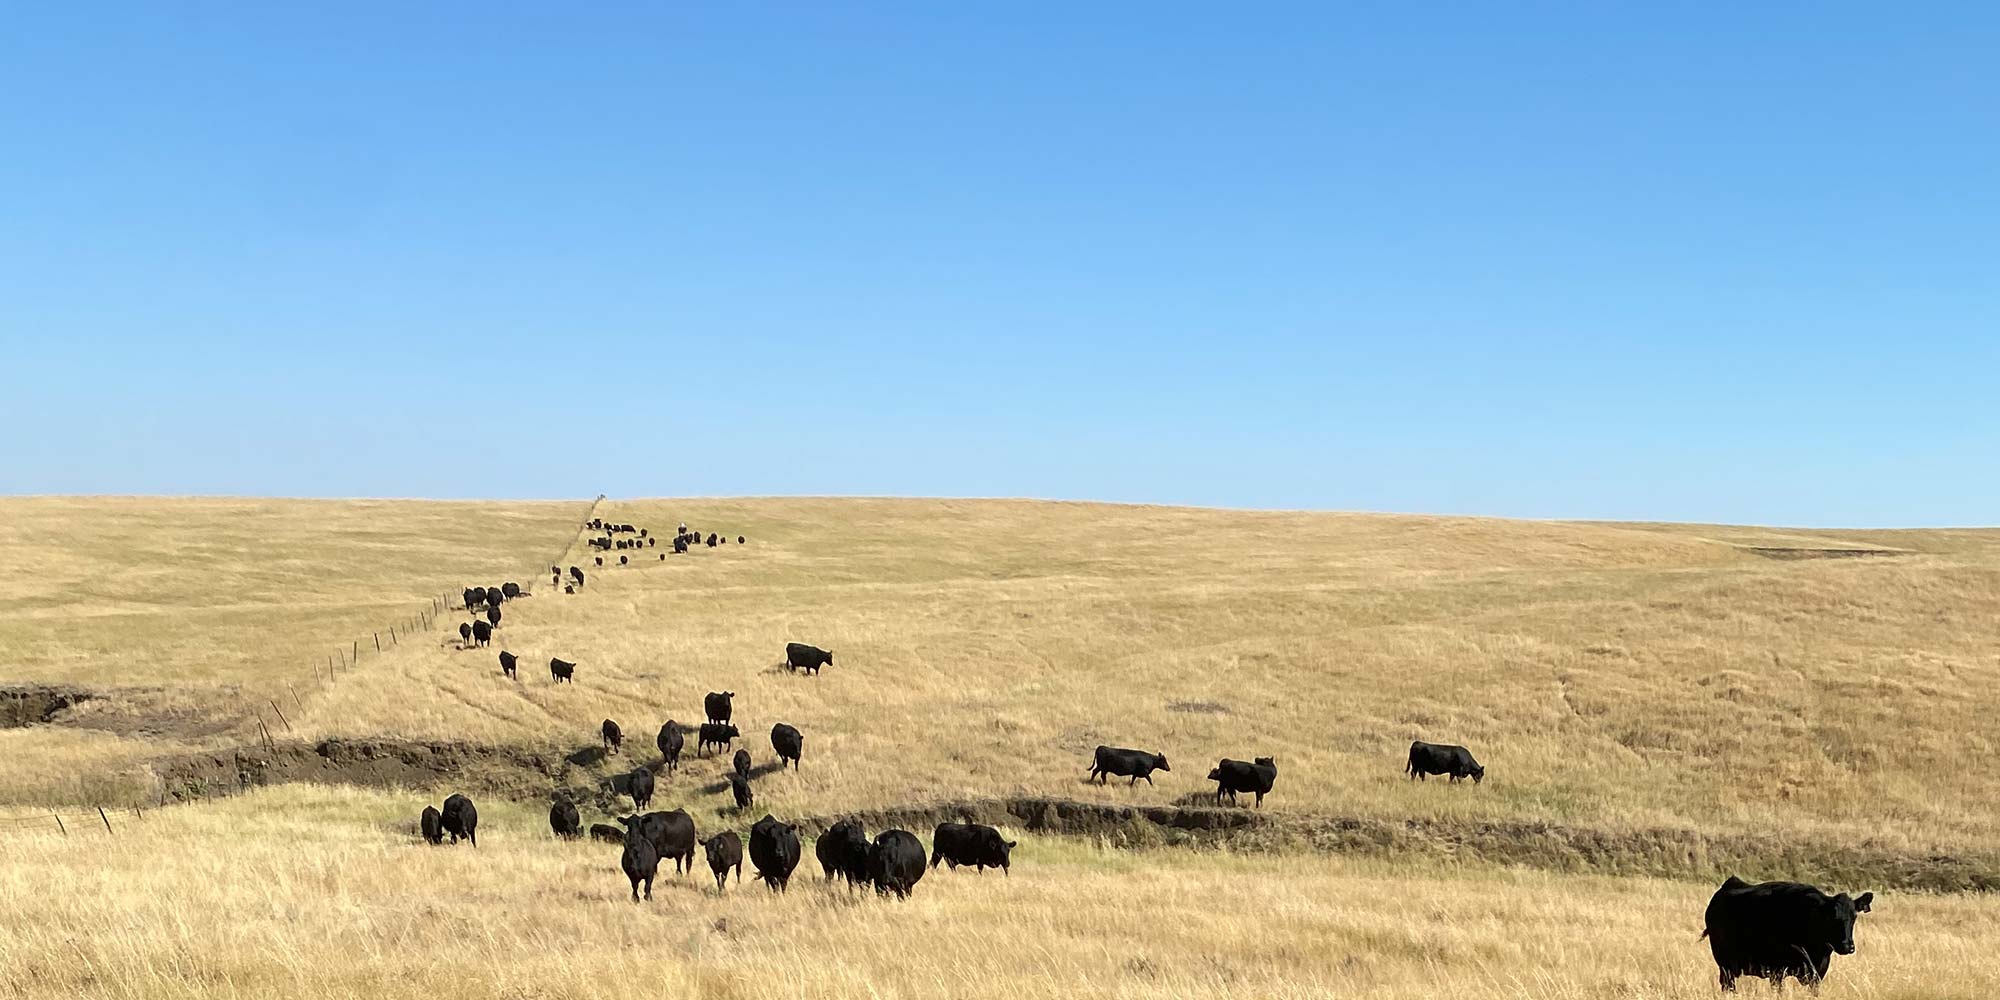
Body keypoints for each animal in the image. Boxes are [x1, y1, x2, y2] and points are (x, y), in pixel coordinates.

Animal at [1703, 877, 1874, 991]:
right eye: (1831, 917)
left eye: (1854, 916)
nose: (1848, 946)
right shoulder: (1776, 972)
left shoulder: (1817, 974)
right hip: (1725, 966)